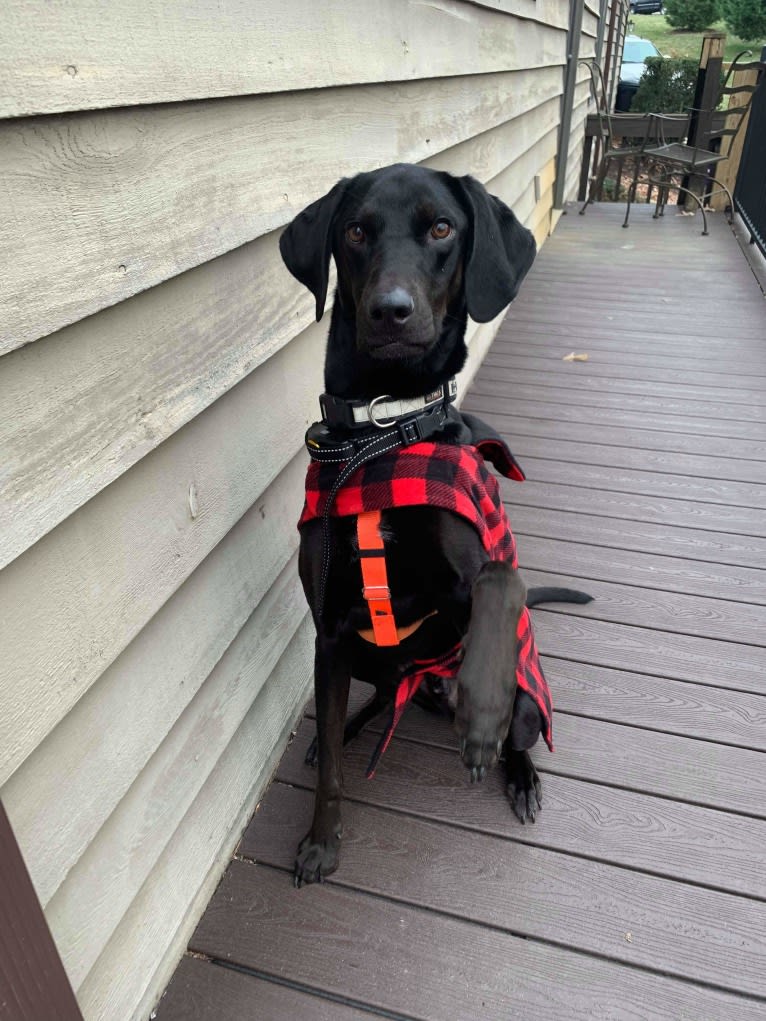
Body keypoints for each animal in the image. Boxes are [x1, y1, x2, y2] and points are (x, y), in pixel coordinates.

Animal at [279, 163, 592, 882]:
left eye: (443, 228)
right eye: (355, 230)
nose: (390, 311)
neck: (383, 435)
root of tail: (427, 682)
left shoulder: (482, 560)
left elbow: (502, 582)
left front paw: (481, 714)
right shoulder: (330, 629)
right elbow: (332, 768)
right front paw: (320, 841)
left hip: (528, 701)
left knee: (520, 730)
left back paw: (515, 767)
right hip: (370, 657)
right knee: (373, 697)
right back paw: (358, 723)